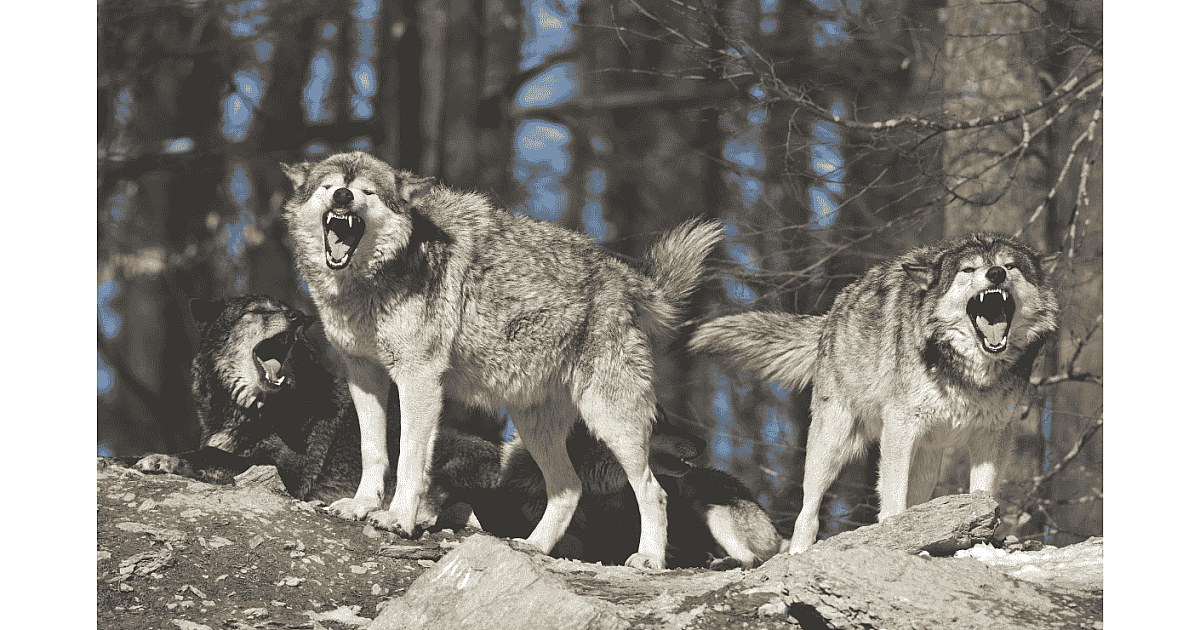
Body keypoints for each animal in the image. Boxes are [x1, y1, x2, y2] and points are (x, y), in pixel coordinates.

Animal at [125, 295, 504, 528]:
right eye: (258, 310)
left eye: (286, 308)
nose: (299, 317)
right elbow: (208, 450)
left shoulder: (291, 471)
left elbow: (211, 454)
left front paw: (160, 458)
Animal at [281, 151, 723, 568]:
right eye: (330, 185)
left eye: (366, 191)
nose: (343, 196)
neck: (369, 282)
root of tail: (624, 275)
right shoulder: (363, 374)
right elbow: (373, 449)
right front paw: (360, 506)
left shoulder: (418, 379)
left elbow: (409, 457)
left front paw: (397, 518)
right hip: (533, 425)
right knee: (569, 488)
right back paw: (533, 547)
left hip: (612, 422)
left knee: (653, 492)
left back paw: (649, 558)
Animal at [475, 407, 780, 569]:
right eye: (655, 422)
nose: (703, 443)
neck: (593, 492)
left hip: (709, 507)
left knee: (751, 559)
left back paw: (718, 561)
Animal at [689, 233, 1058, 554]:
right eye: (968, 269)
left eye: (1010, 266)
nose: (995, 273)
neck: (970, 373)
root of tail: (832, 312)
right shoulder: (900, 428)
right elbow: (892, 496)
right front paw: (894, 536)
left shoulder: (993, 435)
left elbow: (984, 493)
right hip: (831, 445)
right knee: (807, 510)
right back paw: (798, 551)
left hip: (928, 460)